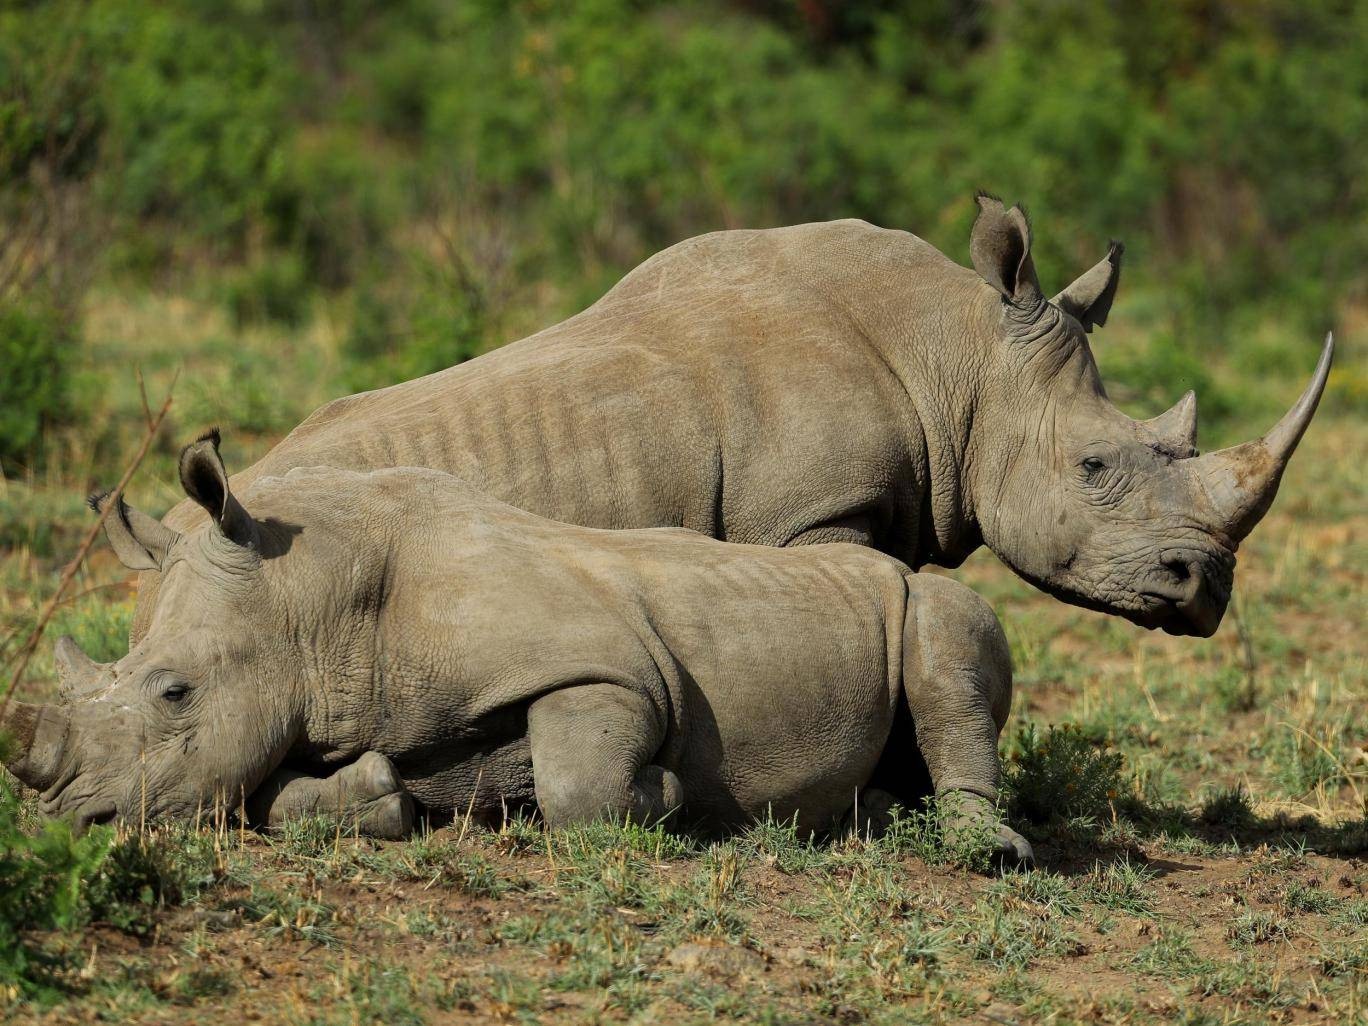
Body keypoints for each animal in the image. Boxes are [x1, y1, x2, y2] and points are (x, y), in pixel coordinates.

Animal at [3, 434, 1030, 860]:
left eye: (173, 692)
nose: (72, 819)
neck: (313, 602)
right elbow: (268, 797)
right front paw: (383, 798)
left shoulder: (607, 666)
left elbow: (582, 782)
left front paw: (667, 795)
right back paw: (879, 815)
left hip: (925, 600)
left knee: (946, 635)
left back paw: (984, 850)